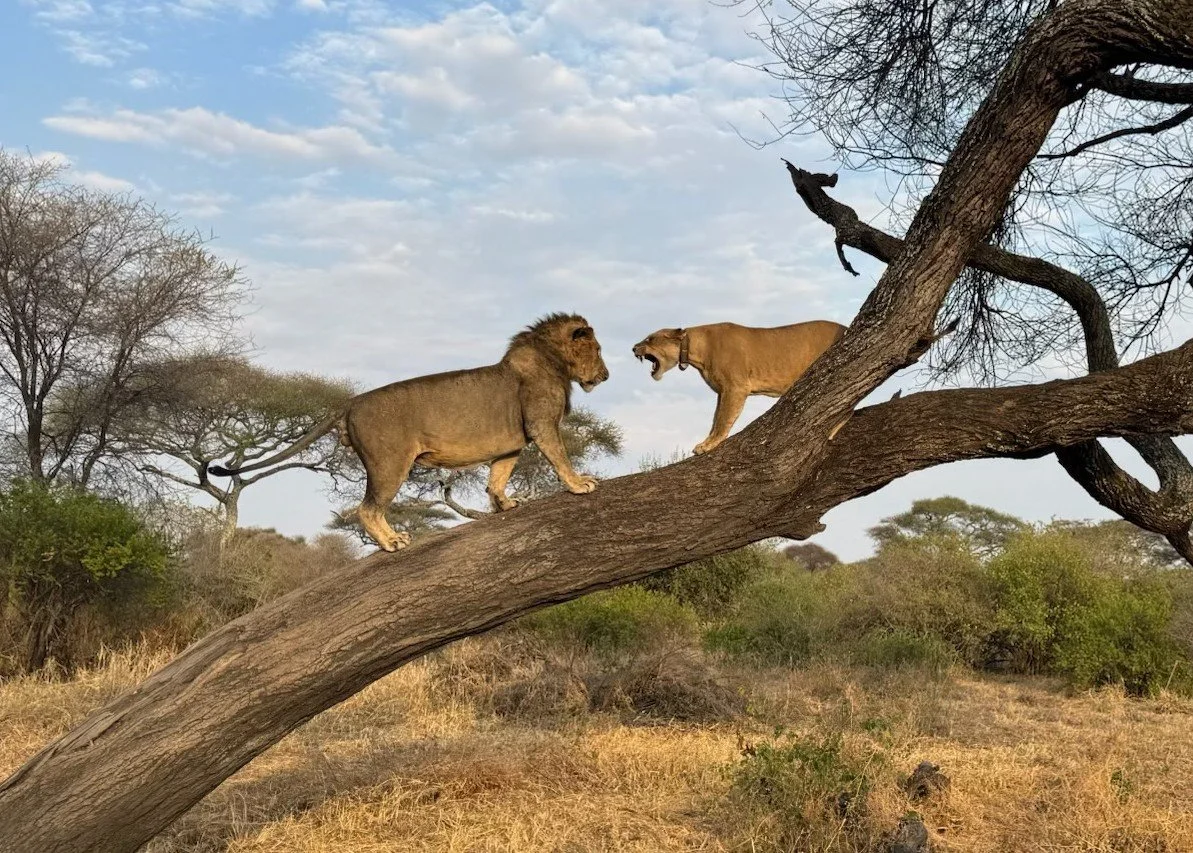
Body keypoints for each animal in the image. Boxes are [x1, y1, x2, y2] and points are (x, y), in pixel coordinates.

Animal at [209, 313, 610, 552]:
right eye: (598, 348)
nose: (606, 376)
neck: (554, 360)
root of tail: (349, 403)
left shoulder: (514, 441)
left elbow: (498, 476)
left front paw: (505, 504)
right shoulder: (541, 425)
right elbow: (559, 456)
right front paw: (580, 484)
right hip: (390, 463)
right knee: (367, 509)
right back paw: (392, 542)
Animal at [631, 320, 846, 455]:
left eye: (650, 339)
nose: (633, 348)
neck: (694, 348)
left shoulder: (735, 387)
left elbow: (723, 419)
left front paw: (708, 445)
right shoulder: (722, 391)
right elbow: (716, 418)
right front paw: (708, 441)